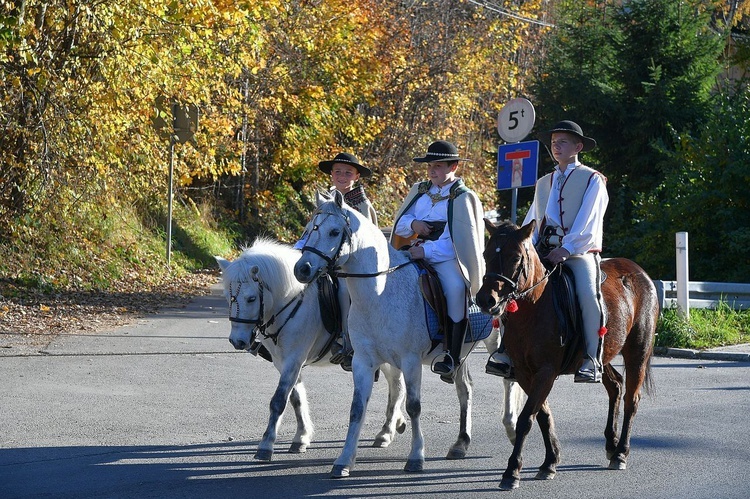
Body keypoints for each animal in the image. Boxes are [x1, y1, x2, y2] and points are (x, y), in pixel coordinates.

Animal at [216, 240, 412, 462]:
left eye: (250, 299)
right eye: (227, 297)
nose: (237, 341)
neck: (291, 301)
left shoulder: (294, 358)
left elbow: (279, 400)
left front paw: (266, 445)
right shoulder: (282, 361)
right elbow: (296, 398)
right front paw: (301, 438)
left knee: (397, 388)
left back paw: (386, 432)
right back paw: (397, 423)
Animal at [292, 192, 524, 480]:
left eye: (334, 232)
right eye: (308, 230)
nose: (301, 269)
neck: (380, 292)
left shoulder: (411, 361)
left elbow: (414, 406)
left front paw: (416, 457)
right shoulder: (363, 362)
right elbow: (357, 408)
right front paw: (344, 460)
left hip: (496, 342)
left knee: (509, 381)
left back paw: (511, 427)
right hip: (460, 354)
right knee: (465, 390)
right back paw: (461, 443)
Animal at [476, 220, 656, 492]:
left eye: (515, 257)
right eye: (486, 254)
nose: (486, 299)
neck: (535, 305)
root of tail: (638, 272)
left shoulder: (546, 372)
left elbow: (526, 418)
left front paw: (512, 471)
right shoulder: (525, 373)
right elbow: (542, 415)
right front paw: (550, 462)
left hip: (638, 352)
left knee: (631, 400)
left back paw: (621, 453)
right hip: (601, 357)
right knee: (615, 386)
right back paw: (611, 444)